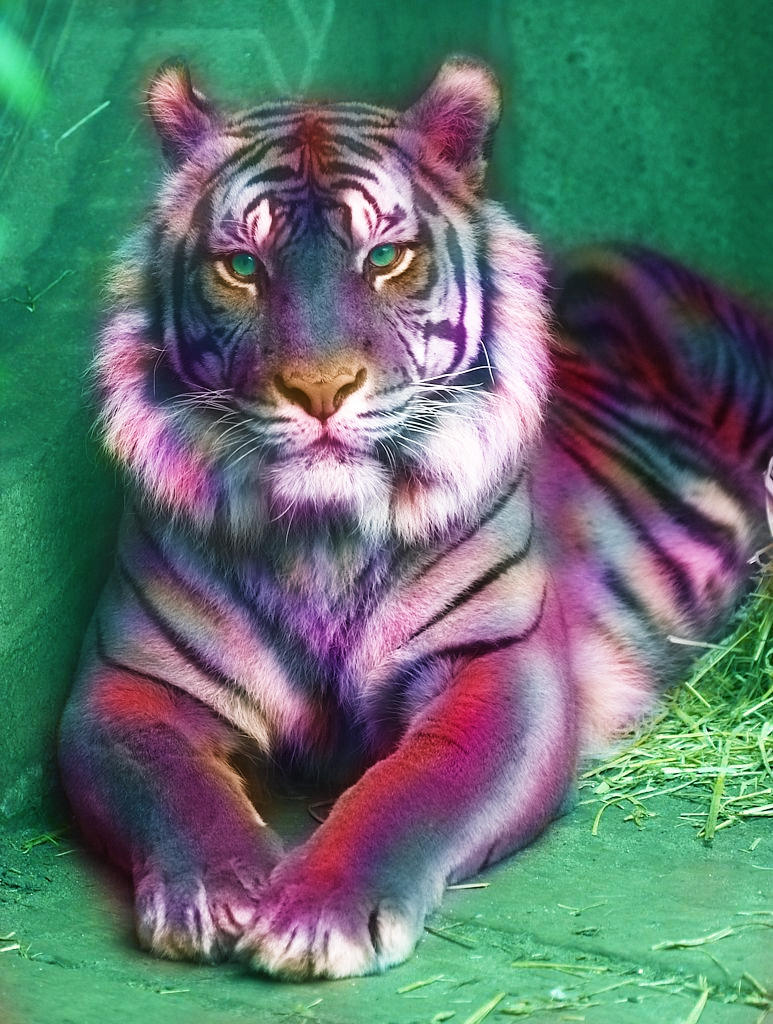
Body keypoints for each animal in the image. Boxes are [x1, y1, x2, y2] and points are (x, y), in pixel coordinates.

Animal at [58, 56, 773, 980]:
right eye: (242, 266)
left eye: (386, 257)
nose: (320, 389)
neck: (320, 540)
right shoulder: (128, 682)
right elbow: (173, 791)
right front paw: (213, 895)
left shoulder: (498, 663)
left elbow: (409, 791)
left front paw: (315, 917)